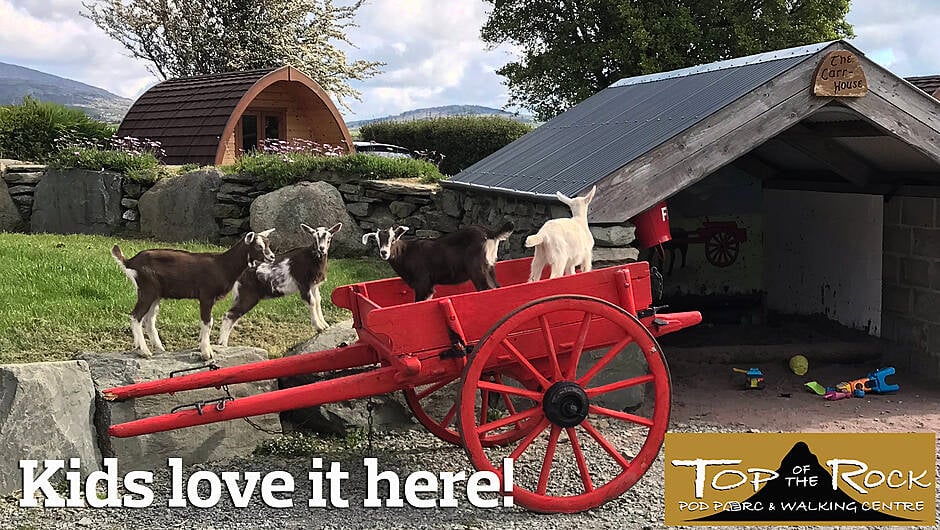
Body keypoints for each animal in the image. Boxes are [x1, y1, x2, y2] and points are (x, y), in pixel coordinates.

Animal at [112, 229, 276, 360]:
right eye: (258, 246)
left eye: (268, 244)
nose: (272, 257)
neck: (222, 265)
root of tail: (130, 262)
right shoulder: (206, 295)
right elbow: (208, 322)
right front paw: (206, 353)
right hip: (148, 289)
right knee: (136, 316)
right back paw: (144, 351)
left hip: (155, 294)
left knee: (149, 319)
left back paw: (158, 348)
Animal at [362, 220, 516, 302]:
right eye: (376, 241)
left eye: (393, 239)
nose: (384, 252)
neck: (406, 253)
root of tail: (489, 233)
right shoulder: (428, 286)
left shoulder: (422, 282)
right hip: (489, 266)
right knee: (496, 286)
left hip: (478, 269)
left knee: (486, 288)